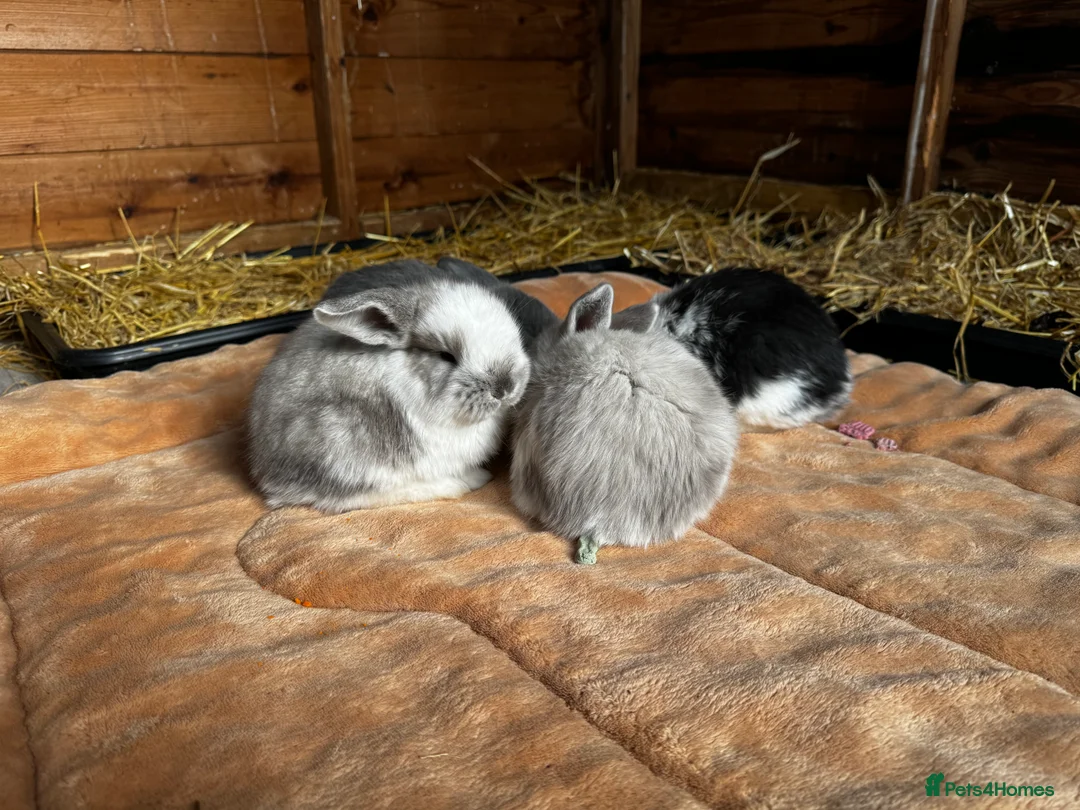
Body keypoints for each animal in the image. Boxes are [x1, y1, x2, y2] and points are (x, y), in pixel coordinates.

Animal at [247, 268, 531, 513]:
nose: (505, 387)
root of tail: (264, 469)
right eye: (446, 356)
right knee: (348, 497)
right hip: (342, 444)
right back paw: (463, 483)